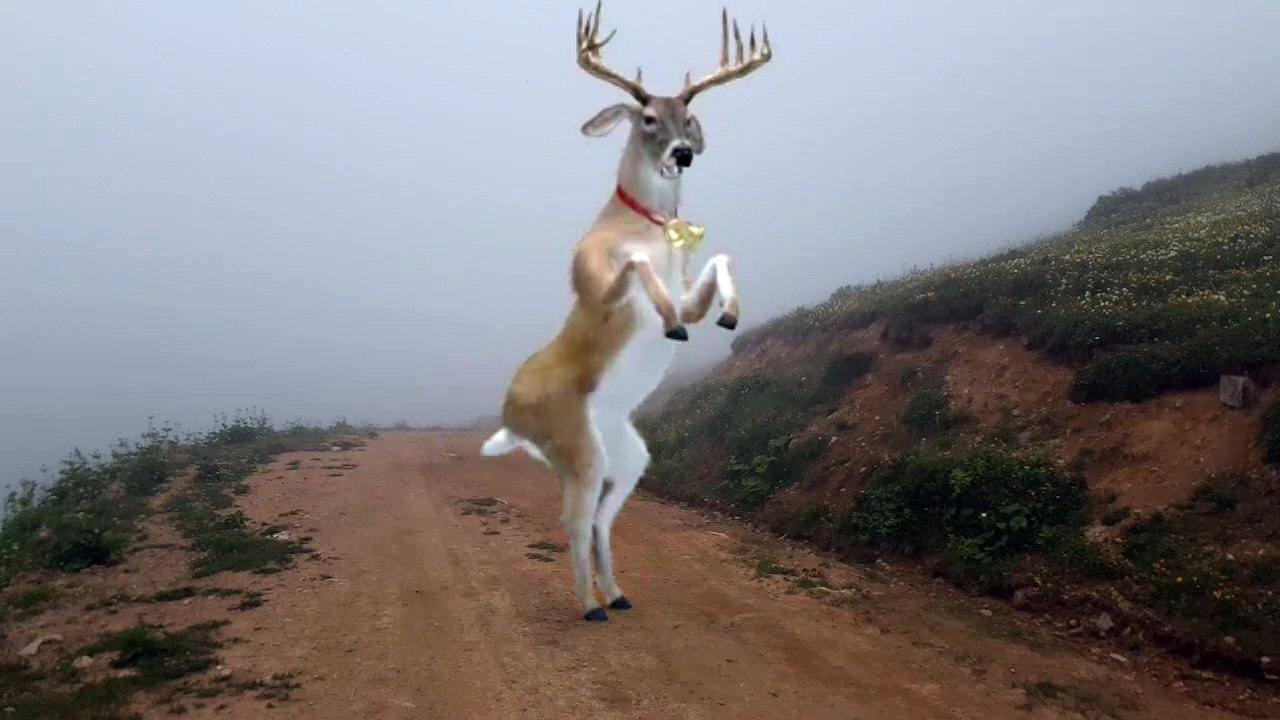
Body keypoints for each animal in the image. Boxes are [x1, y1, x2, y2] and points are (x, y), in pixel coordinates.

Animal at [479, 2, 773, 622]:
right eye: (648, 118)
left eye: (690, 117)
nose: (682, 153)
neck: (646, 225)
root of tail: (510, 415)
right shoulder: (592, 281)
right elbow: (636, 267)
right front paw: (672, 324)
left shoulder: (688, 279)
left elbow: (719, 262)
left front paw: (728, 315)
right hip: (577, 447)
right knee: (573, 518)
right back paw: (589, 603)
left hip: (630, 455)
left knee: (599, 519)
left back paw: (617, 593)